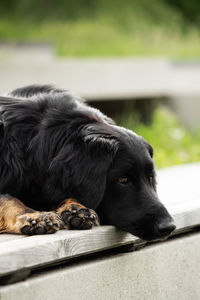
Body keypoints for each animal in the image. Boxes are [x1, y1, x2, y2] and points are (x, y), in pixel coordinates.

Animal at [0, 85, 175, 240]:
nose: (169, 227)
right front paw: (32, 215)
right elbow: (7, 198)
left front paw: (76, 208)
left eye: (151, 178)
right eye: (122, 180)